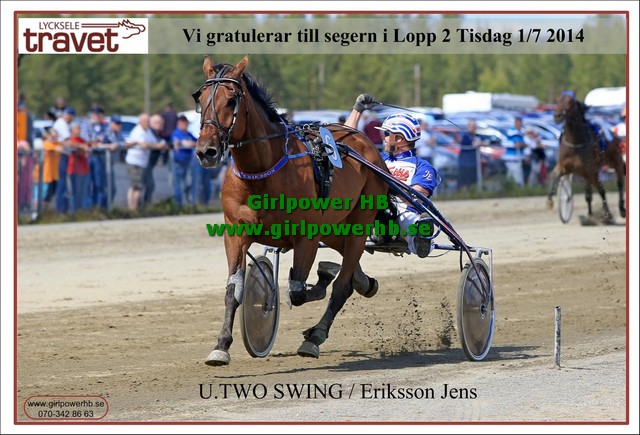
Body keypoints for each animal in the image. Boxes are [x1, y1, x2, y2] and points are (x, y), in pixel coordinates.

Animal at [193, 55, 388, 366]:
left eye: (232, 99)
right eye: (200, 99)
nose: (206, 151)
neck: (262, 171)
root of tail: (361, 138)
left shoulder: (306, 236)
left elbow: (296, 292)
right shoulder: (235, 232)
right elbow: (234, 288)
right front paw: (221, 346)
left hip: (360, 221)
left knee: (341, 286)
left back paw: (316, 334)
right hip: (334, 226)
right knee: (347, 265)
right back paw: (359, 280)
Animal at [547, 91, 626, 221]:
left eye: (570, 101)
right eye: (558, 100)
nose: (557, 116)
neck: (575, 143)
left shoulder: (591, 170)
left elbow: (601, 190)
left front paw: (608, 213)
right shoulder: (566, 167)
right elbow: (554, 175)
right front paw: (550, 201)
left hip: (616, 162)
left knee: (619, 184)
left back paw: (621, 209)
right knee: (590, 193)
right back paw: (590, 213)